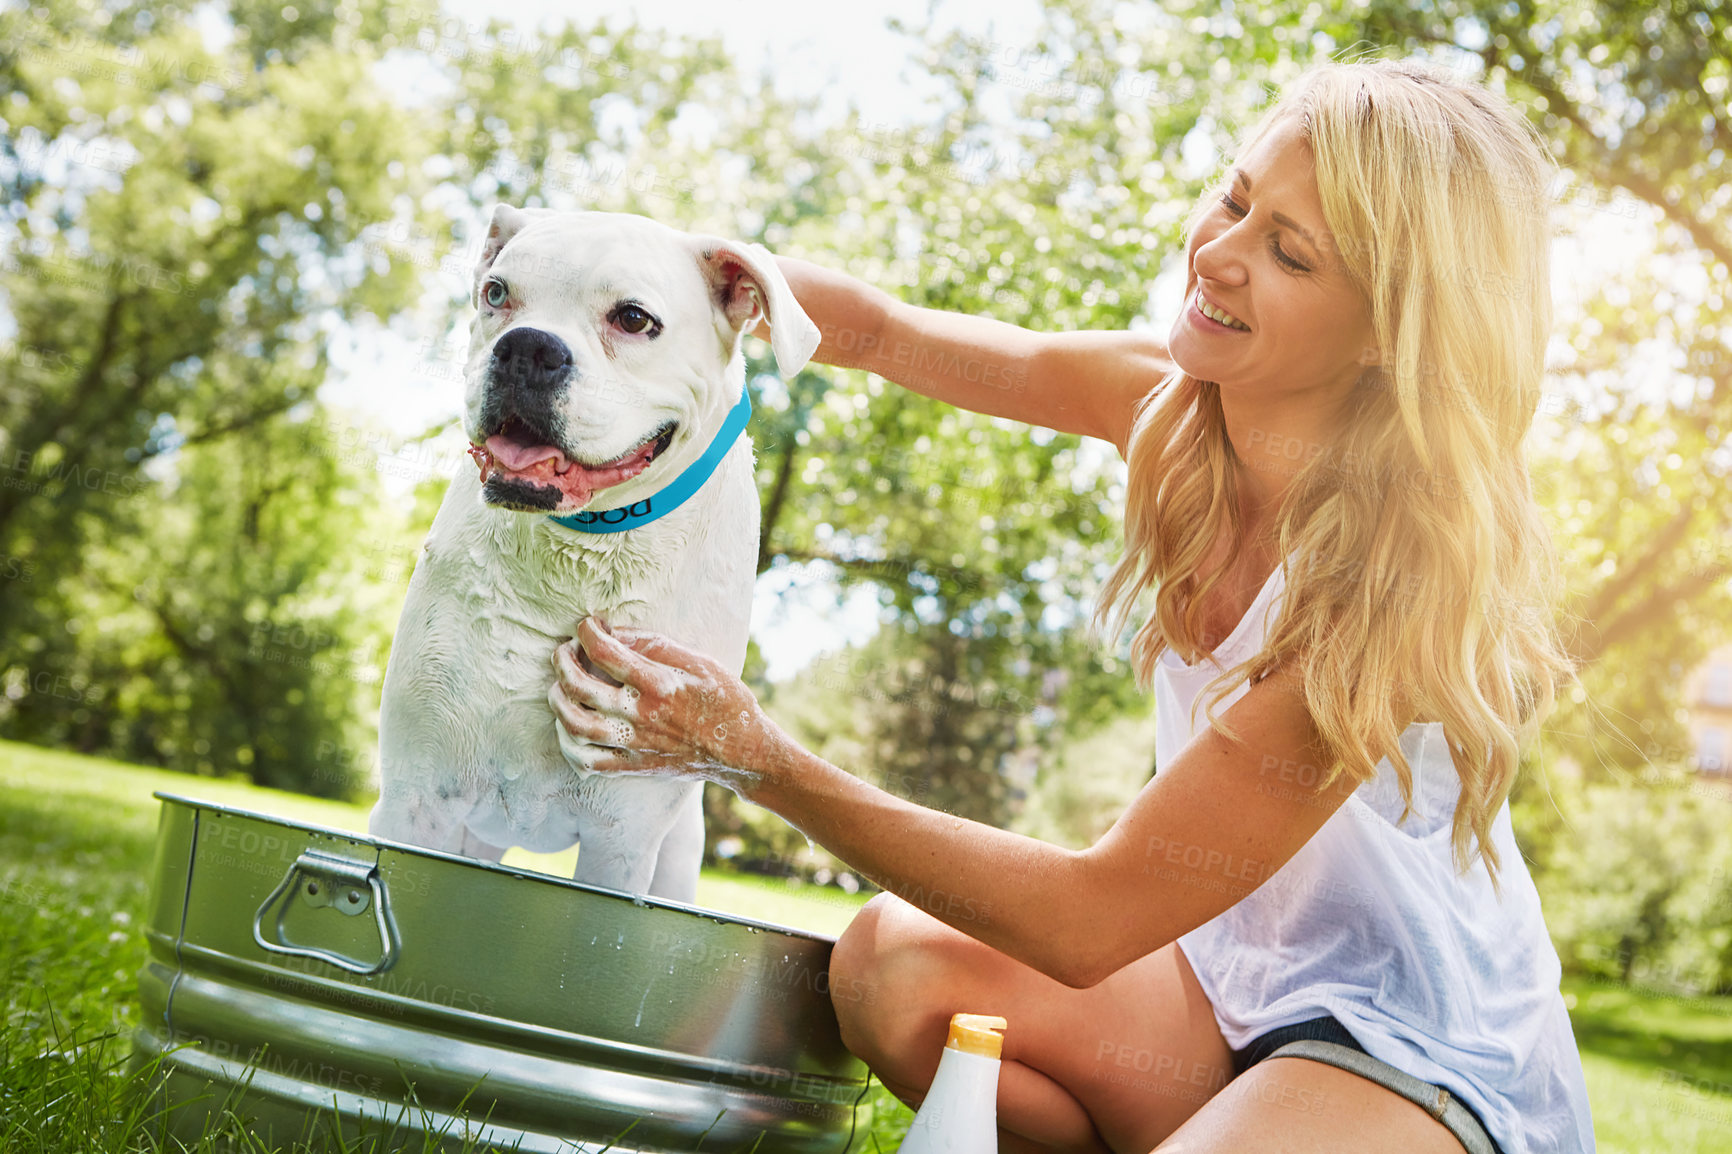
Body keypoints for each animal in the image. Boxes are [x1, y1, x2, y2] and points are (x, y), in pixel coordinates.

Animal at [368, 204, 814, 901]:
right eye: (496, 294)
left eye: (633, 319)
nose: (528, 347)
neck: (582, 548)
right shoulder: (417, 799)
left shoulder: (622, 840)